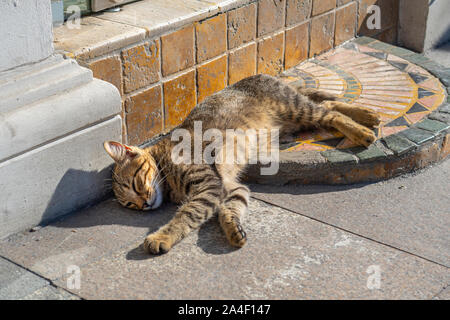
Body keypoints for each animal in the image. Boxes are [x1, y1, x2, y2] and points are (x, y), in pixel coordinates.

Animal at [103, 74, 380, 254]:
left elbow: (187, 215)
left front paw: (162, 236)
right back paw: (367, 114)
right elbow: (230, 208)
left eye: (135, 184)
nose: (144, 205)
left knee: (331, 113)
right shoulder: (229, 187)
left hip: (296, 109)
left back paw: (362, 129)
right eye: (130, 204)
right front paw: (233, 229)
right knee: (329, 104)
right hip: (300, 119)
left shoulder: (208, 186)